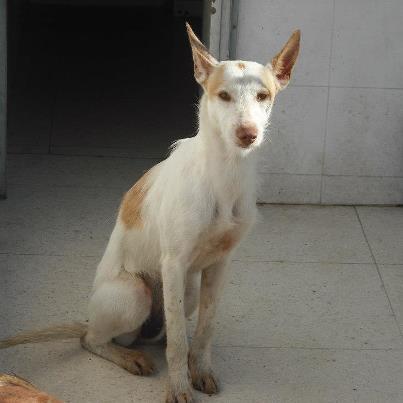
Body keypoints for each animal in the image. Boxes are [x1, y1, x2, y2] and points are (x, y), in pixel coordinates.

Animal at [0, 23, 300, 402]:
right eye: (223, 96)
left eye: (263, 96)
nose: (248, 134)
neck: (223, 175)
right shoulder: (173, 263)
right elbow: (178, 343)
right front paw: (179, 387)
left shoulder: (220, 264)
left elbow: (204, 330)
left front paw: (199, 370)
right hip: (135, 294)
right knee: (93, 340)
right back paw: (129, 356)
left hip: (188, 290)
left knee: (165, 328)